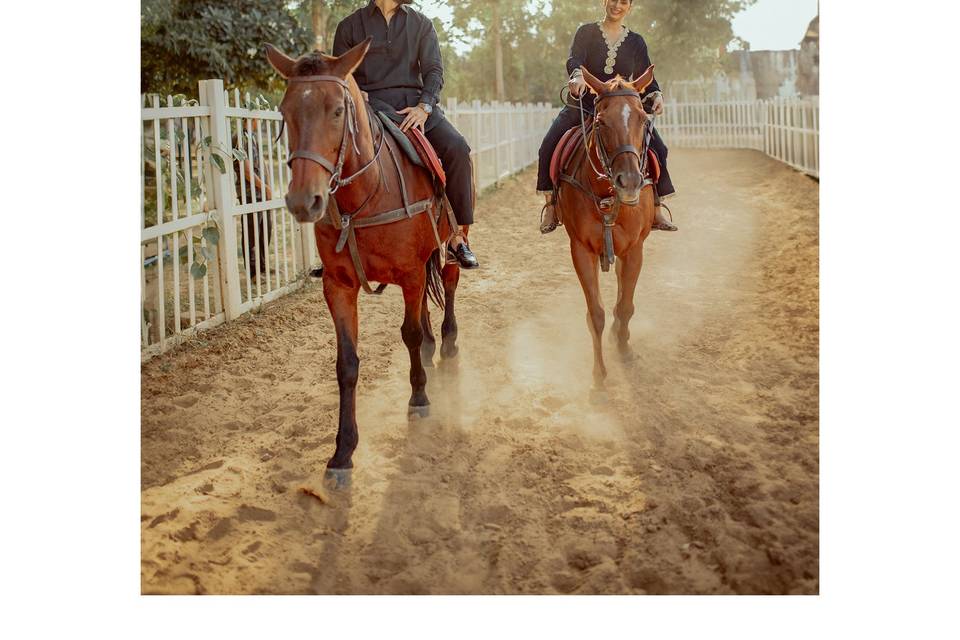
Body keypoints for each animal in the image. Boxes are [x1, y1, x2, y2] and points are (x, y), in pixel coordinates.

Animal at [264, 38, 464, 484]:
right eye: (285, 111)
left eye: (338, 111)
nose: (304, 200)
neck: (368, 194)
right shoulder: (338, 285)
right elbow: (347, 363)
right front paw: (343, 451)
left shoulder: (410, 272)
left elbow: (408, 333)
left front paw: (419, 395)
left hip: (449, 246)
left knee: (448, 283)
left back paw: (446, 341)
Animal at [556, 65, 660, 388]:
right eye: (601, 122)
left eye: (643, 118)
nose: (630, 182)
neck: (606, 194)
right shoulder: (581, 251)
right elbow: (596, 314)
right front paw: (599, 373)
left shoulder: (635, 249)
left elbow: (626, 306)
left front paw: (624, 348)